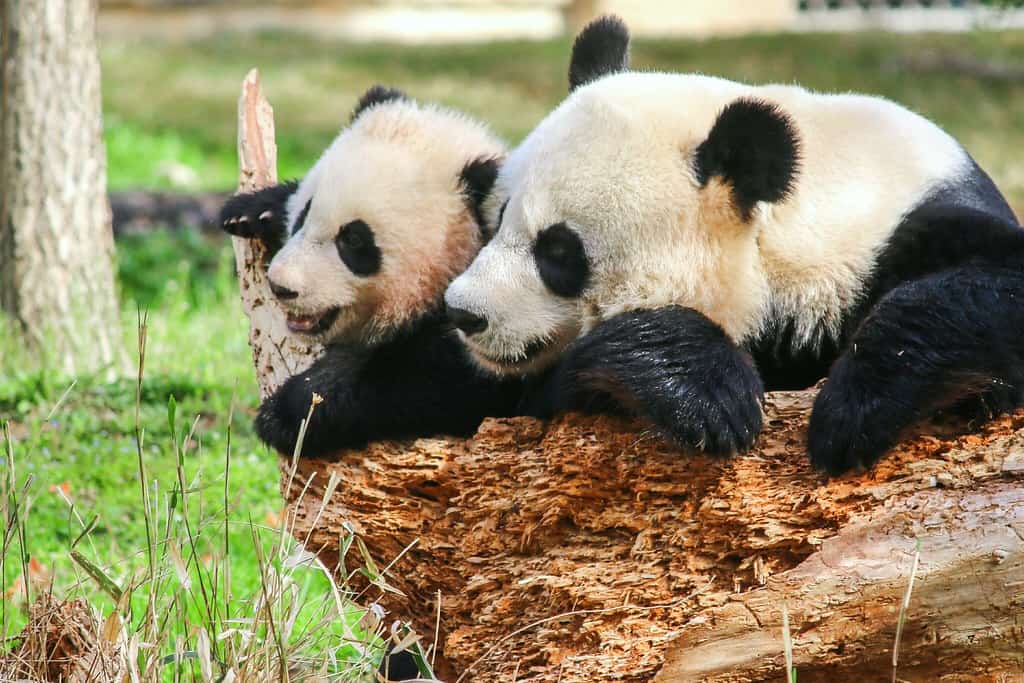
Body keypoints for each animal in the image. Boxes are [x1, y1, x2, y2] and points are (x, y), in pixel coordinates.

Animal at [219, 83, 516, 458]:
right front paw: (254, 211)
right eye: (304, 215)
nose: (282, 287)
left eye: (354, 240)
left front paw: (289, 410)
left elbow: (449, 377)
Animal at [446, 15, 1024, 475]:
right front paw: (711, 395)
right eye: (497, 220)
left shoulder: (908, 221)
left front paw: (853, 411)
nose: (463, 312)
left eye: (560, 253)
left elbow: (987, 288)